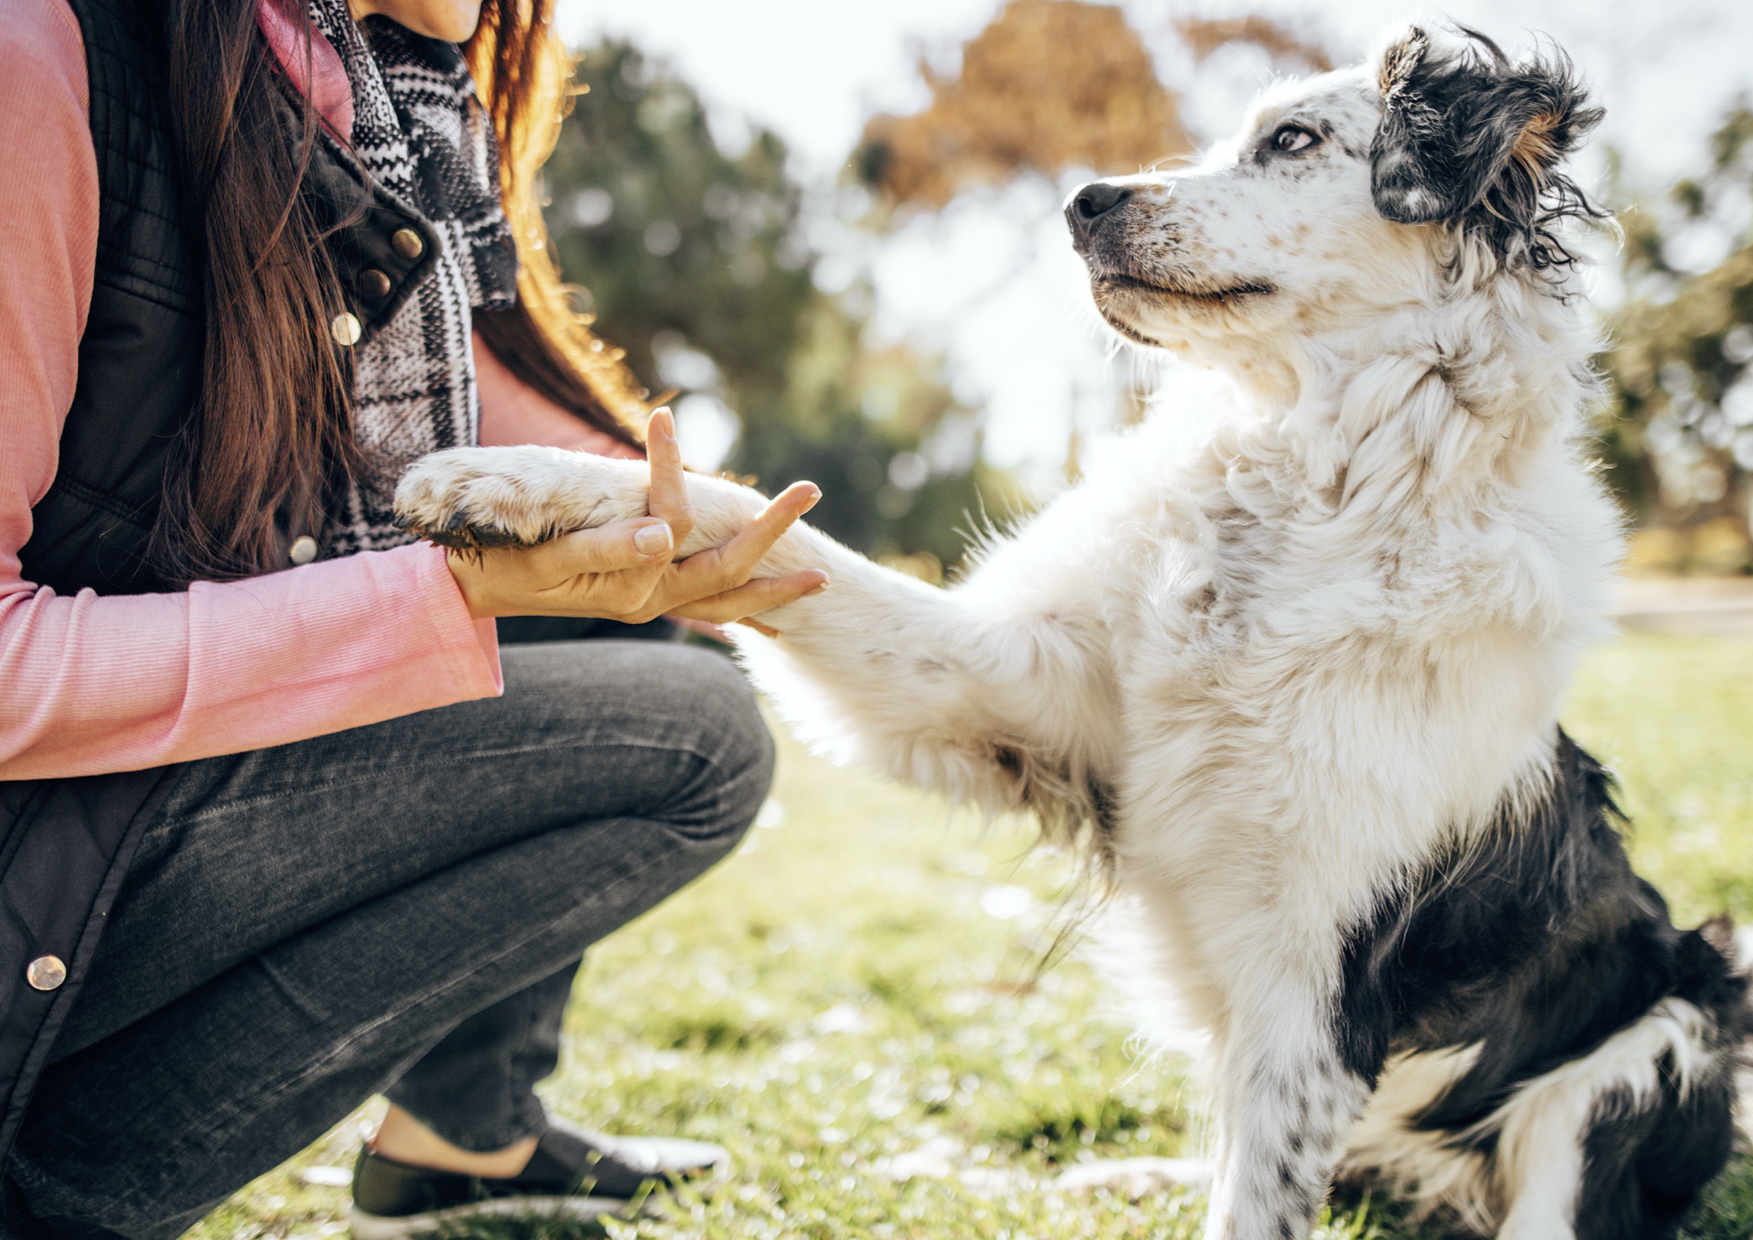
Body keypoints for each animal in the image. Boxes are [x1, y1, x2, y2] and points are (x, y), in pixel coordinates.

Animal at [401, 26, 1753, 1240]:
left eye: (1292, 141)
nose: (1081, 201)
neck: (1309, 483)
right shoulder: (1017, 694)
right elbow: (775, 531)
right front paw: (514, 481)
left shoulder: (1315, 991)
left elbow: (1254, 1207)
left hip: (1658, 1043)